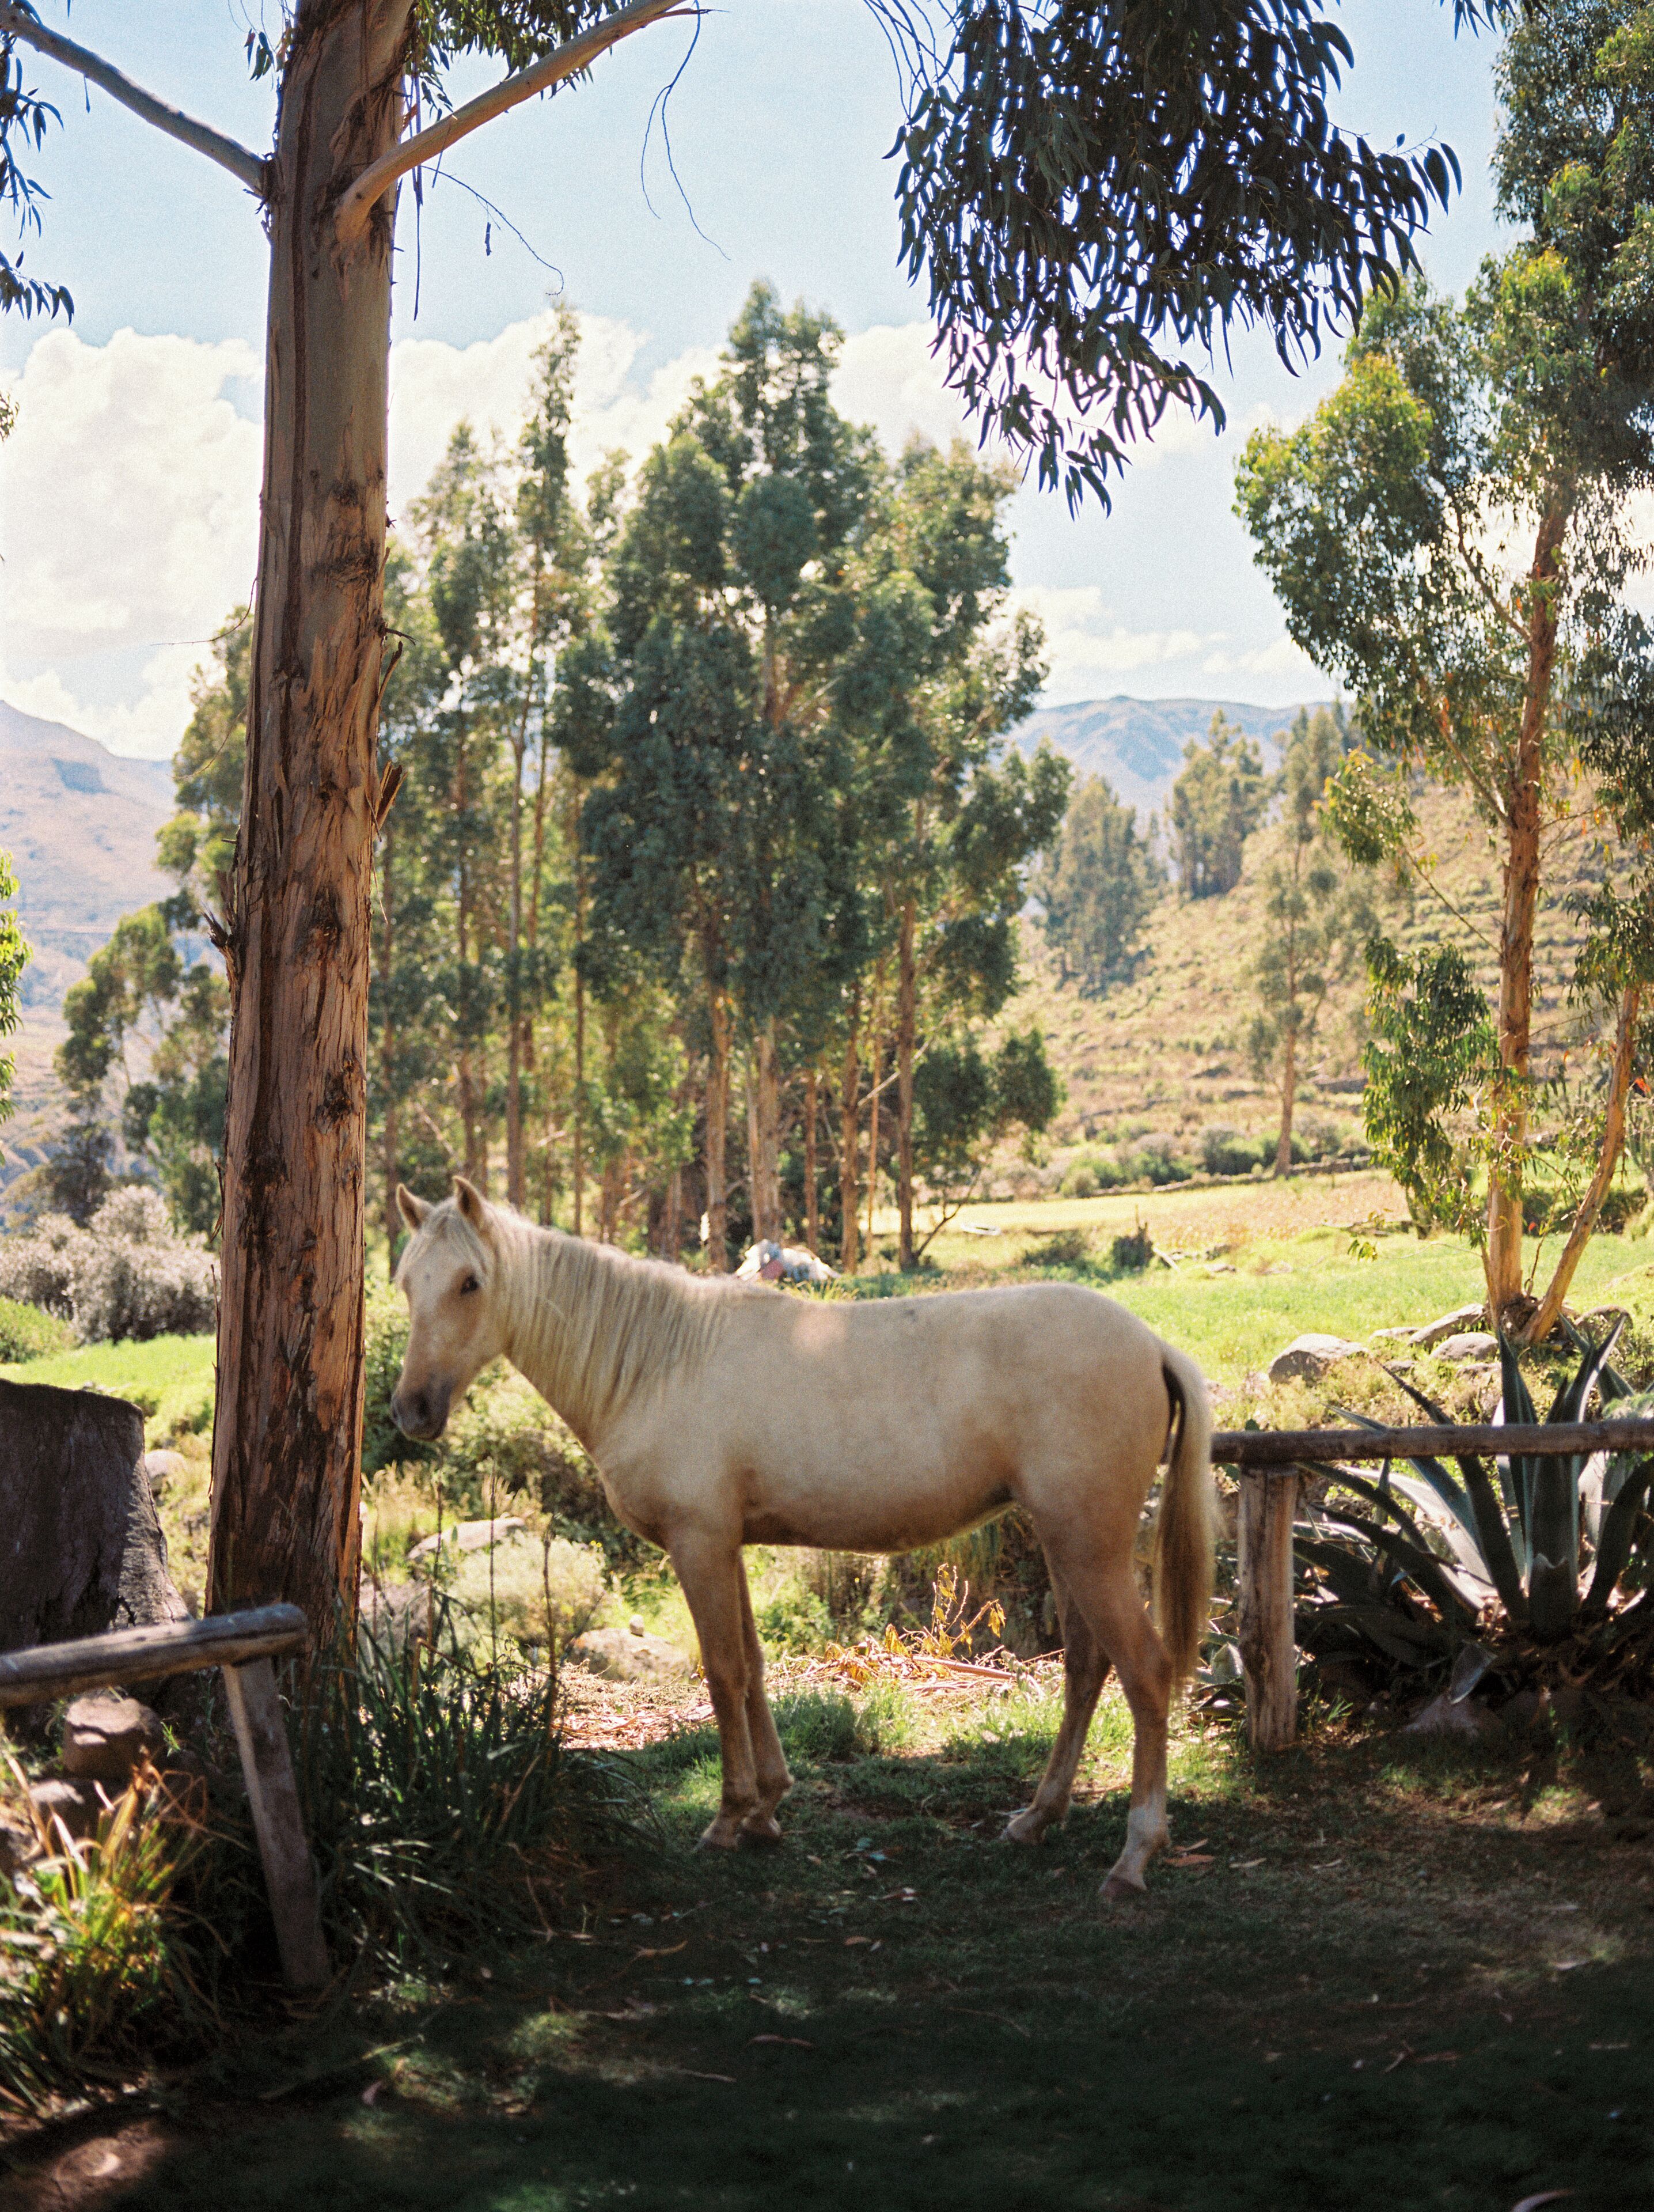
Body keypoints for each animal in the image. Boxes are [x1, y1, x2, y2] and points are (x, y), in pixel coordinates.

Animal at [389, 1178, 1216, 1898]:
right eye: (404, 1282)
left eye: (469, 1283)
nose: (412, 1411)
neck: (659, 1361)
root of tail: (1150, 1344)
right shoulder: (727, 1544)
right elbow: (753, 1668)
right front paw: (767, 1807)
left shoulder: (698, 1544)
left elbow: (722, 1673)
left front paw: (728, 1818)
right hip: (1066, 1542)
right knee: (1085, 1669)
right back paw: (1037, 1818)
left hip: (1089, 1546)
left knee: (1143, 1672)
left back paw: (1134, 1856)